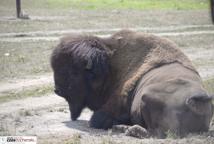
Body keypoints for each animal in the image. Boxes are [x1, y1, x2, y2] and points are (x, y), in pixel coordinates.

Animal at [51, 29, 213, 137]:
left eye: (74, 72)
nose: (57, 90)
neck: (111, 66)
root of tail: (198, 99)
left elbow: (96, 120)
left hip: (146, 96)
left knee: (155, 133)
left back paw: (127, 129)